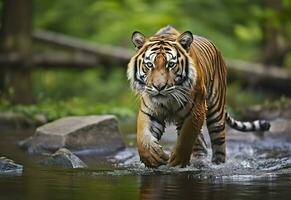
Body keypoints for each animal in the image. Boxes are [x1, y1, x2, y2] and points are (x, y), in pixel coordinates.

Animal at [128, 25, 272, 168]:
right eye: (149, 65)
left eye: (171, 64)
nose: (159, 87)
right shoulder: (149, 110)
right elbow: (142, 137)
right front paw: (152, 156)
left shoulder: (196, 109)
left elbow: (187, 137)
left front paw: (177, 160)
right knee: (200, 144)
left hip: (216, 114)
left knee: (218, 145)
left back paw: (216, 164)